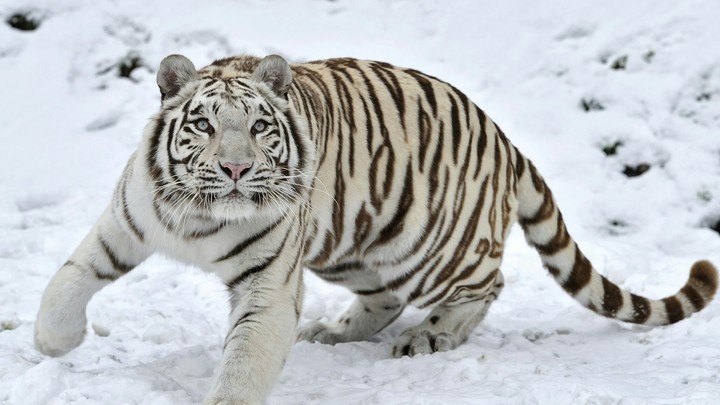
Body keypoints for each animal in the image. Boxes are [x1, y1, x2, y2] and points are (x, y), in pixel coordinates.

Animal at [34, 53, 718, 404]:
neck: (202, 216)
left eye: (258, 127)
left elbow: (245, 361)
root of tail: (505, 139)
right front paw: (54, 344)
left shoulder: (268, 284)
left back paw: (430, 337)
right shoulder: (127, 221)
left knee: (487, 284)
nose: (236, 168)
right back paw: (334, 333)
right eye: (203, 125)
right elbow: (67, 279)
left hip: (433, 248)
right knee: (383, 297)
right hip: (352, 245)